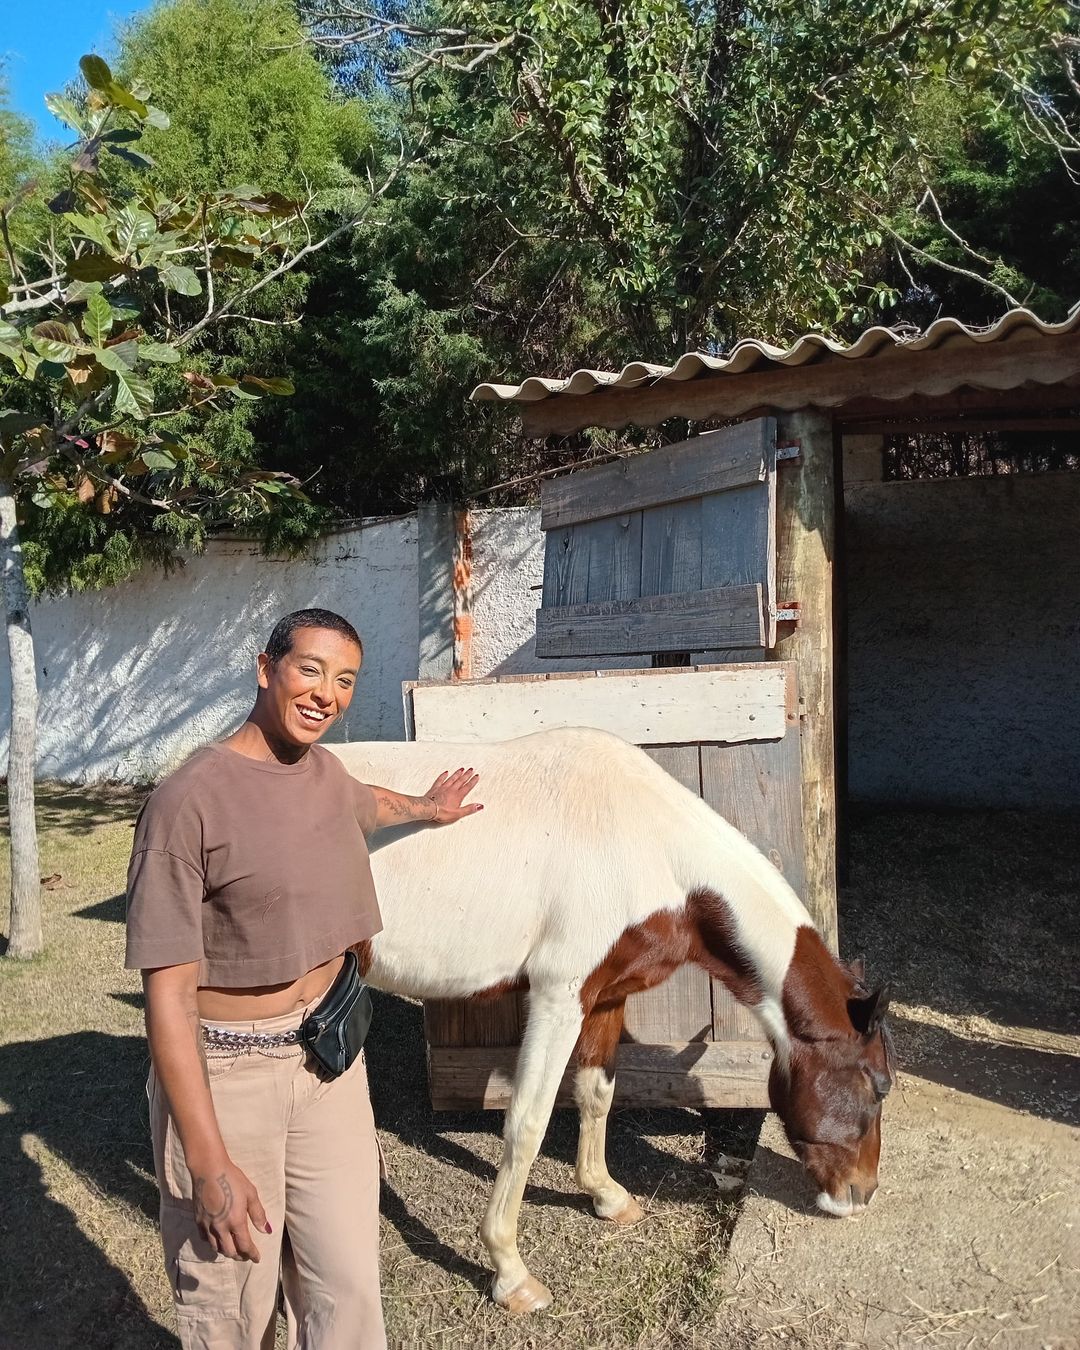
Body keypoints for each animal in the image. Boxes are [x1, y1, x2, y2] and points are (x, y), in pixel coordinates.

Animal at [330, 734, 896, 1312]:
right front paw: (511, 1274)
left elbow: (596, 1093)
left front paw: (606, 1195)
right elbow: (528, 1125)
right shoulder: (559, 996)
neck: (649, 845)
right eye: (878, 1086)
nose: (860, 1193)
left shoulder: (605, 998)